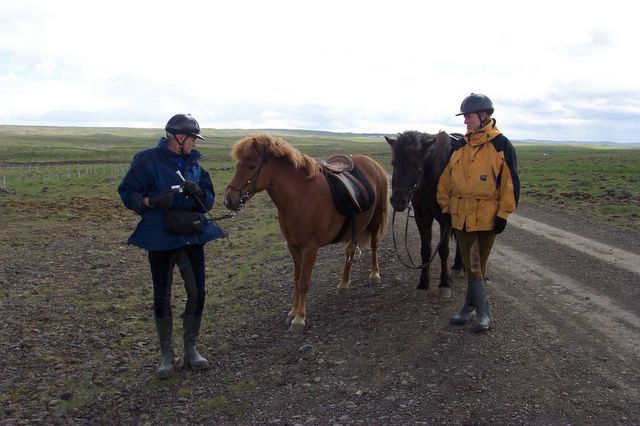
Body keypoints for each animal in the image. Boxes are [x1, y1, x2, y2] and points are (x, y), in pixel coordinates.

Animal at [223, 134, 389, 333]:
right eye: (237, 165)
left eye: (252, 165)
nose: (229, 200)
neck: (301, 196)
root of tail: (374, 163)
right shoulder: (293, 246)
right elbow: (296, 279)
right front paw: (292, 312)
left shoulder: (311, 248)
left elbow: (303, 283)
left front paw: (299, 318)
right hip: (355, 227)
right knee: (350, 251)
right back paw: (343, 285)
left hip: (375, 218)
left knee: (374, 245)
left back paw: (375, 275)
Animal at [385, 130, 464, 297]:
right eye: (394, 163)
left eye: (416, 165)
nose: (398, 201)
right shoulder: (422, 218)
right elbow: (425, 250)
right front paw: (423, 283)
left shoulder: (444, 220)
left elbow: (443, 250)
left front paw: (444, 283)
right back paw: (458, 265)